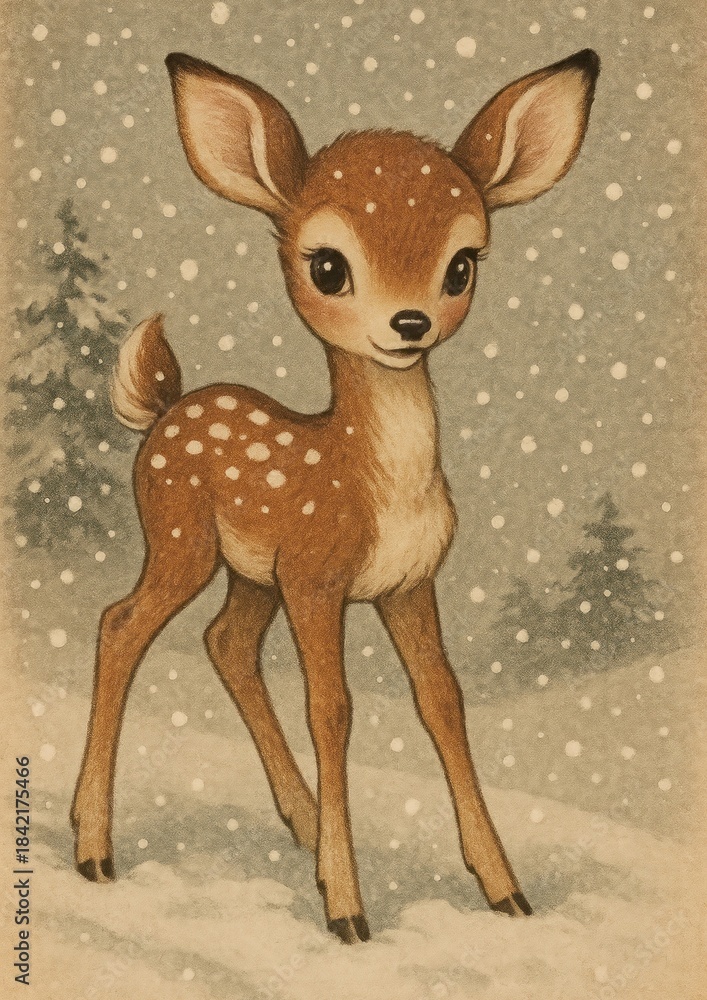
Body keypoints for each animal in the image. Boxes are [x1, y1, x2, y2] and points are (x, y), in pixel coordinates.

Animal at [71, 49, 599, 943]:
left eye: (462, 264)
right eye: (328, 266)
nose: (409, 322)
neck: (372, 482)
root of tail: (166, 405)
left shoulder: (407, 583)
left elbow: (442, 702)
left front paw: (504, 890)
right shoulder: (319, 578)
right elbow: (335, 707)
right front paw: (348, 911)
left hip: (252, 573)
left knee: (224, 642)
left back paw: (302, 822)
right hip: (182, 536)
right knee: (120, 624)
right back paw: (94, 848)